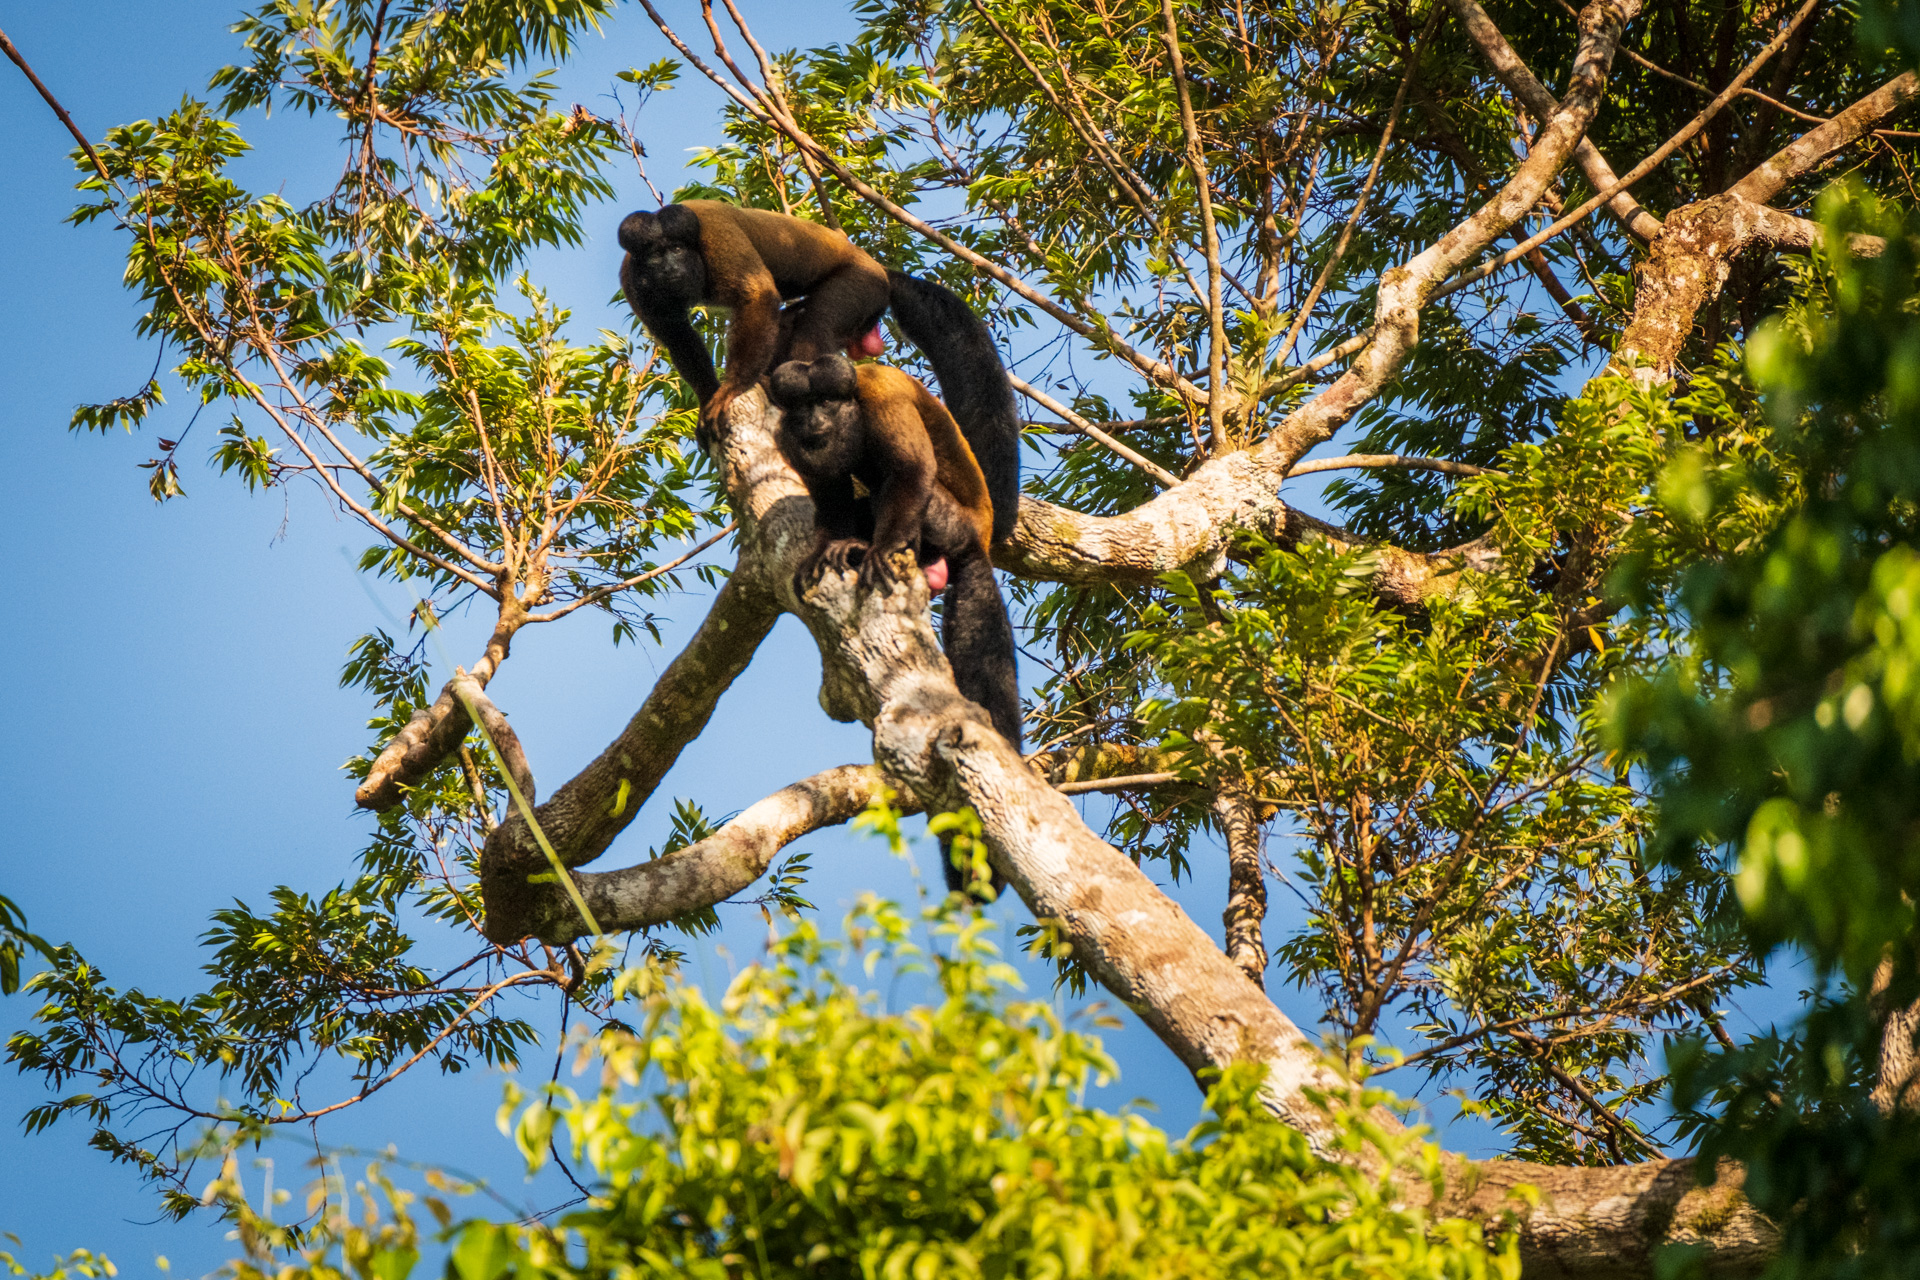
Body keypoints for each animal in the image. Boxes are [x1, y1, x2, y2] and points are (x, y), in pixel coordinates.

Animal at [622, 202, 1029, 548]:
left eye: (677, 249)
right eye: (657, 255)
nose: (671, 265)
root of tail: (879, 268)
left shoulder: (716, 236)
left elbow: (757, 296)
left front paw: (731, 389)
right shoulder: (632, 278)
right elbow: (676, 334)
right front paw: (710, 395)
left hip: (861, 287)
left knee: (815, 327)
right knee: (790, 323)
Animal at [764, 351, 1021, 890]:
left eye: (827, 400)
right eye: (803, 406)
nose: (815, 419)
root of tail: (982, 538)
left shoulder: (883, 400)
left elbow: (909, 471)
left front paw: (877, 548)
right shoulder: (785, 436)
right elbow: (829, 493)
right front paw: (826, 546)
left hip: (951, 524)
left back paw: (874, 547)